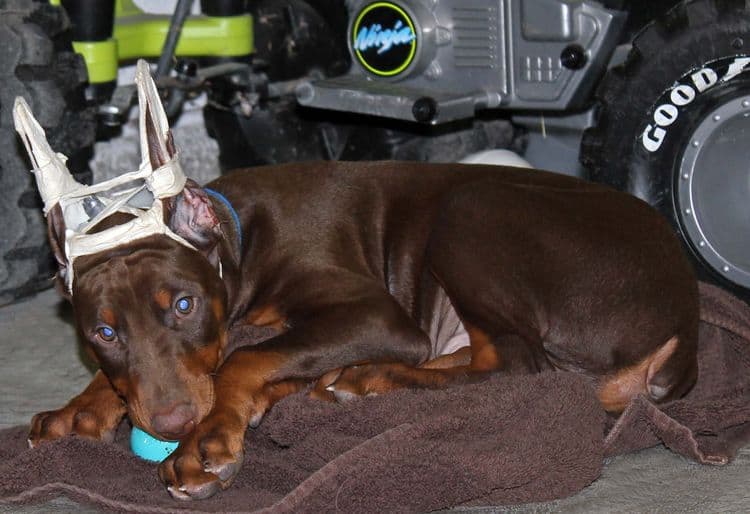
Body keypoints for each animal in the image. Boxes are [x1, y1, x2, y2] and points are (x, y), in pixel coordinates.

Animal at [22, 81, 700, 500]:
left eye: (184, 306)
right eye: (104, 332)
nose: (172, 422)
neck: (239, 242)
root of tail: (686, 317)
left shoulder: (377, 314)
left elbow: (242, 357)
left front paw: (207, 442)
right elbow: (242, 355)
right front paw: (82, 407)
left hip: (471, 207)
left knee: (518, 365)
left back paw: (366, 379)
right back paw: (345, 380)